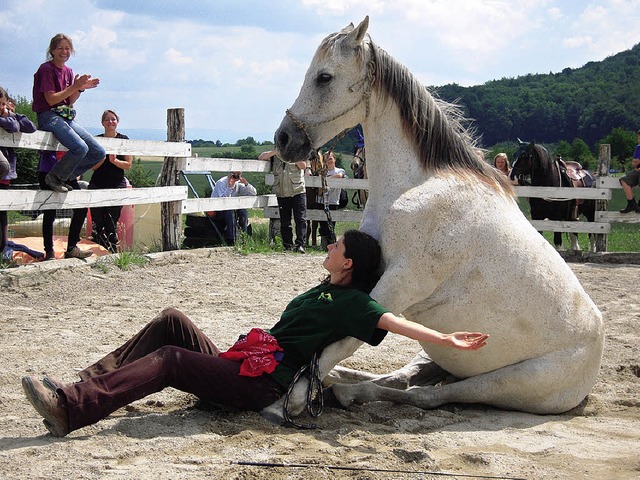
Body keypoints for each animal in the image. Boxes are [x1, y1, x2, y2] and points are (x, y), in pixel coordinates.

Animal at [262, 14, 604, 420]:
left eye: (324, 77)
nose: (284, 139)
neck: (416, 186)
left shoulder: (400, 283)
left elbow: (344, 341)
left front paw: (292, 400)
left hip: (504, 383)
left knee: (426, 395)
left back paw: (341, 392)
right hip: (436, 358)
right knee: (402, 379)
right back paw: (337, 384)